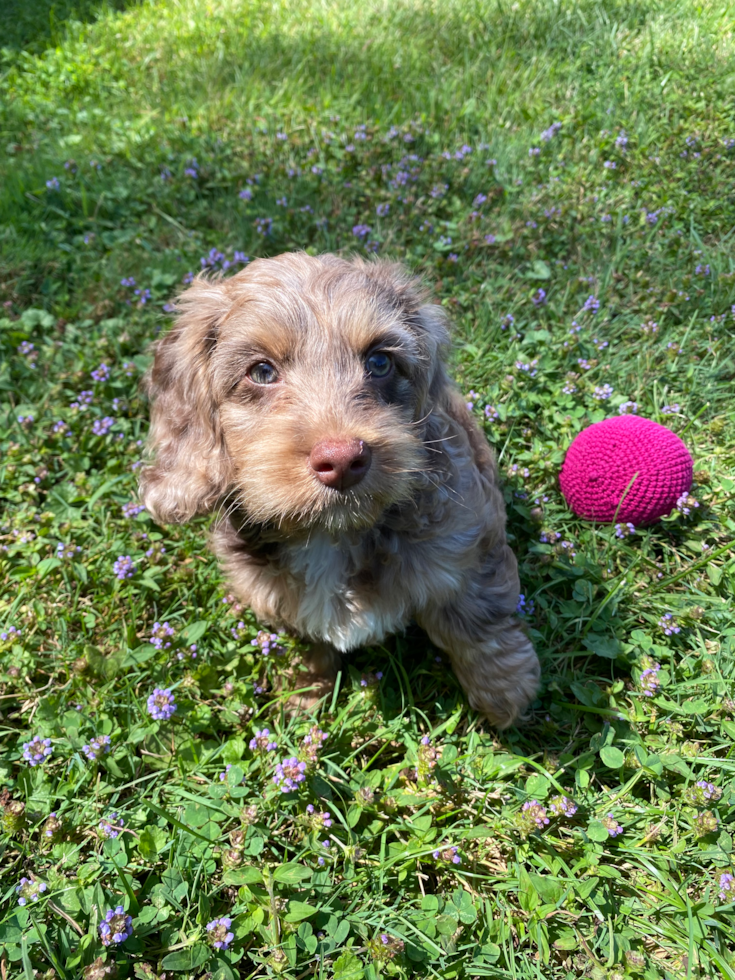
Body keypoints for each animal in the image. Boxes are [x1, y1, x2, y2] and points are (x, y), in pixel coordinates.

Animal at [139, 253, 540, 728]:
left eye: (380, 362)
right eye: (261, 371)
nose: (344, 460)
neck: (333, 534)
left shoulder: (467, 545)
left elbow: (477, 620)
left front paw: (505, 691)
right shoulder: (275, 597)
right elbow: (305, 642)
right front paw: (303, 695)